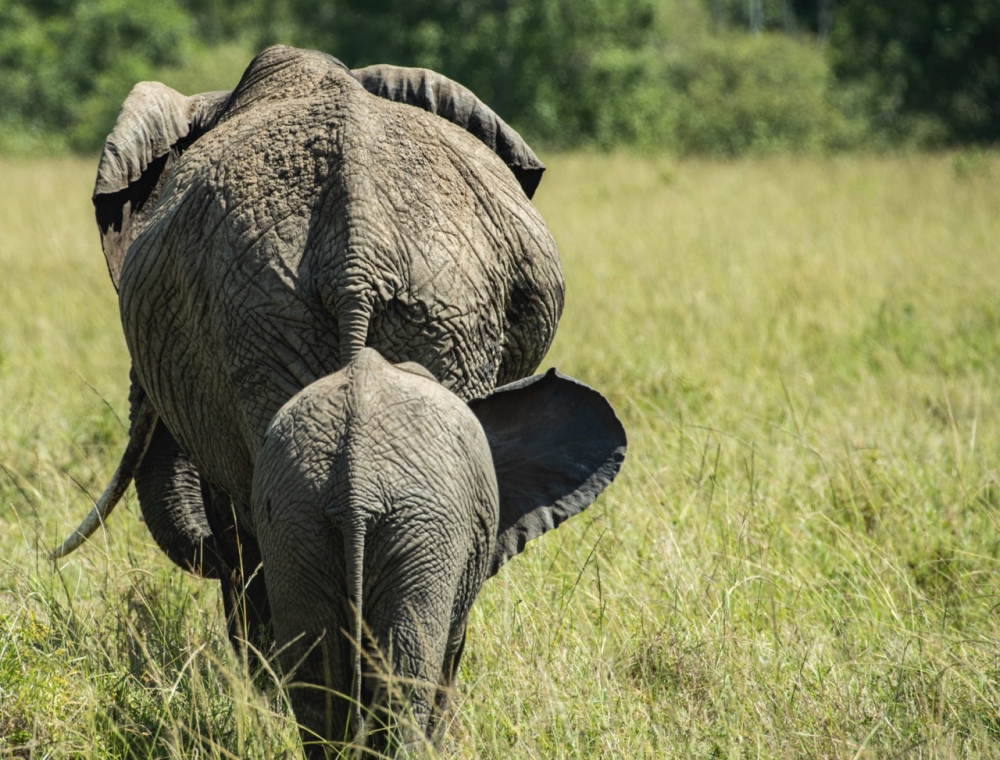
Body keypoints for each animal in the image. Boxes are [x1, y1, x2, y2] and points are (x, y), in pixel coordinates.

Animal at [252, 348, 624, 752]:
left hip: (297, 523)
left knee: (318, 682)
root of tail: (355, 484)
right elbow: (451, 652)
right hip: (422, 531)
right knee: (405, 680)